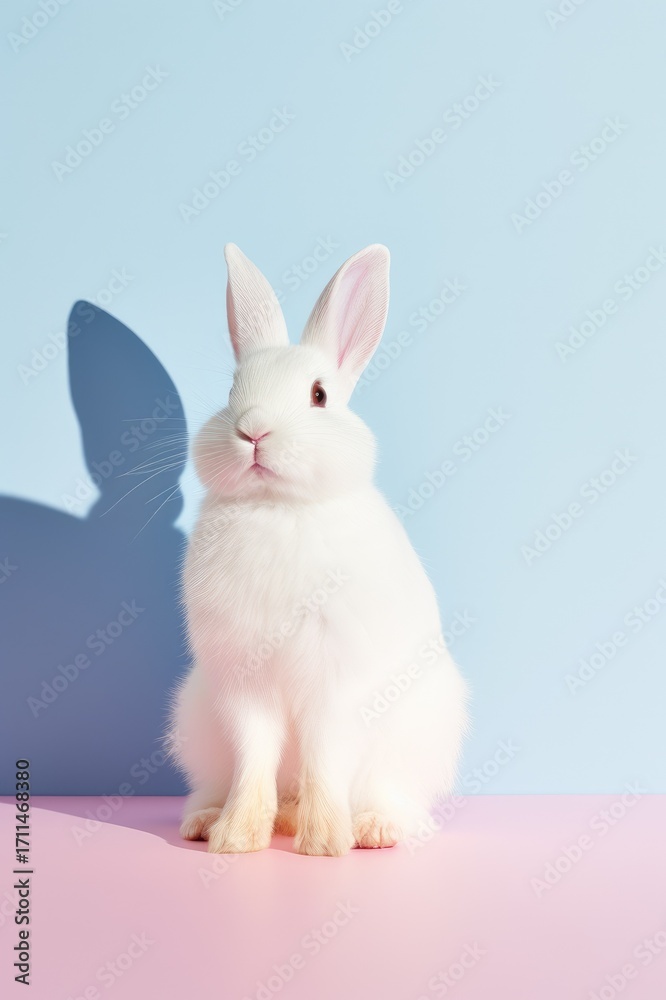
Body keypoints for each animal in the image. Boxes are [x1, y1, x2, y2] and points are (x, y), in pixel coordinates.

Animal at [167, 243, 469, 855]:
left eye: (319, 395)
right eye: (232, 391)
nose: (253, 430)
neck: (279, 507)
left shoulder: (336, 686)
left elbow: (324, 757)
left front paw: (325, 842)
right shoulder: (243, 684)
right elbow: (253, 759)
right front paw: (236, 838)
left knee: (393, 796)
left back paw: (370, 829)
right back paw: (208, 822)